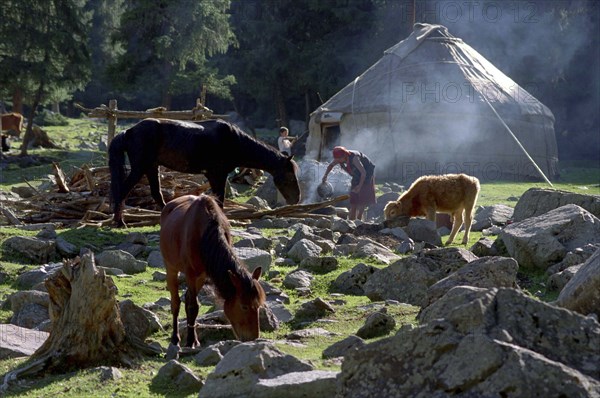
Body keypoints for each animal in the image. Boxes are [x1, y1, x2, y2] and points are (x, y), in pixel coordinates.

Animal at [159, 194, 264, 352]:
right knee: (175, 302)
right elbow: (193, 306)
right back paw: (175, 338)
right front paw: (189, 341)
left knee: (187, 298)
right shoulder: (190, 273)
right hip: (170, 266)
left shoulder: (203, 274)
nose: (252, 338)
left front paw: (194, 340)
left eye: (258, 306)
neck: (204, 235)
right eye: (244, 306)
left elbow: (193, 305)